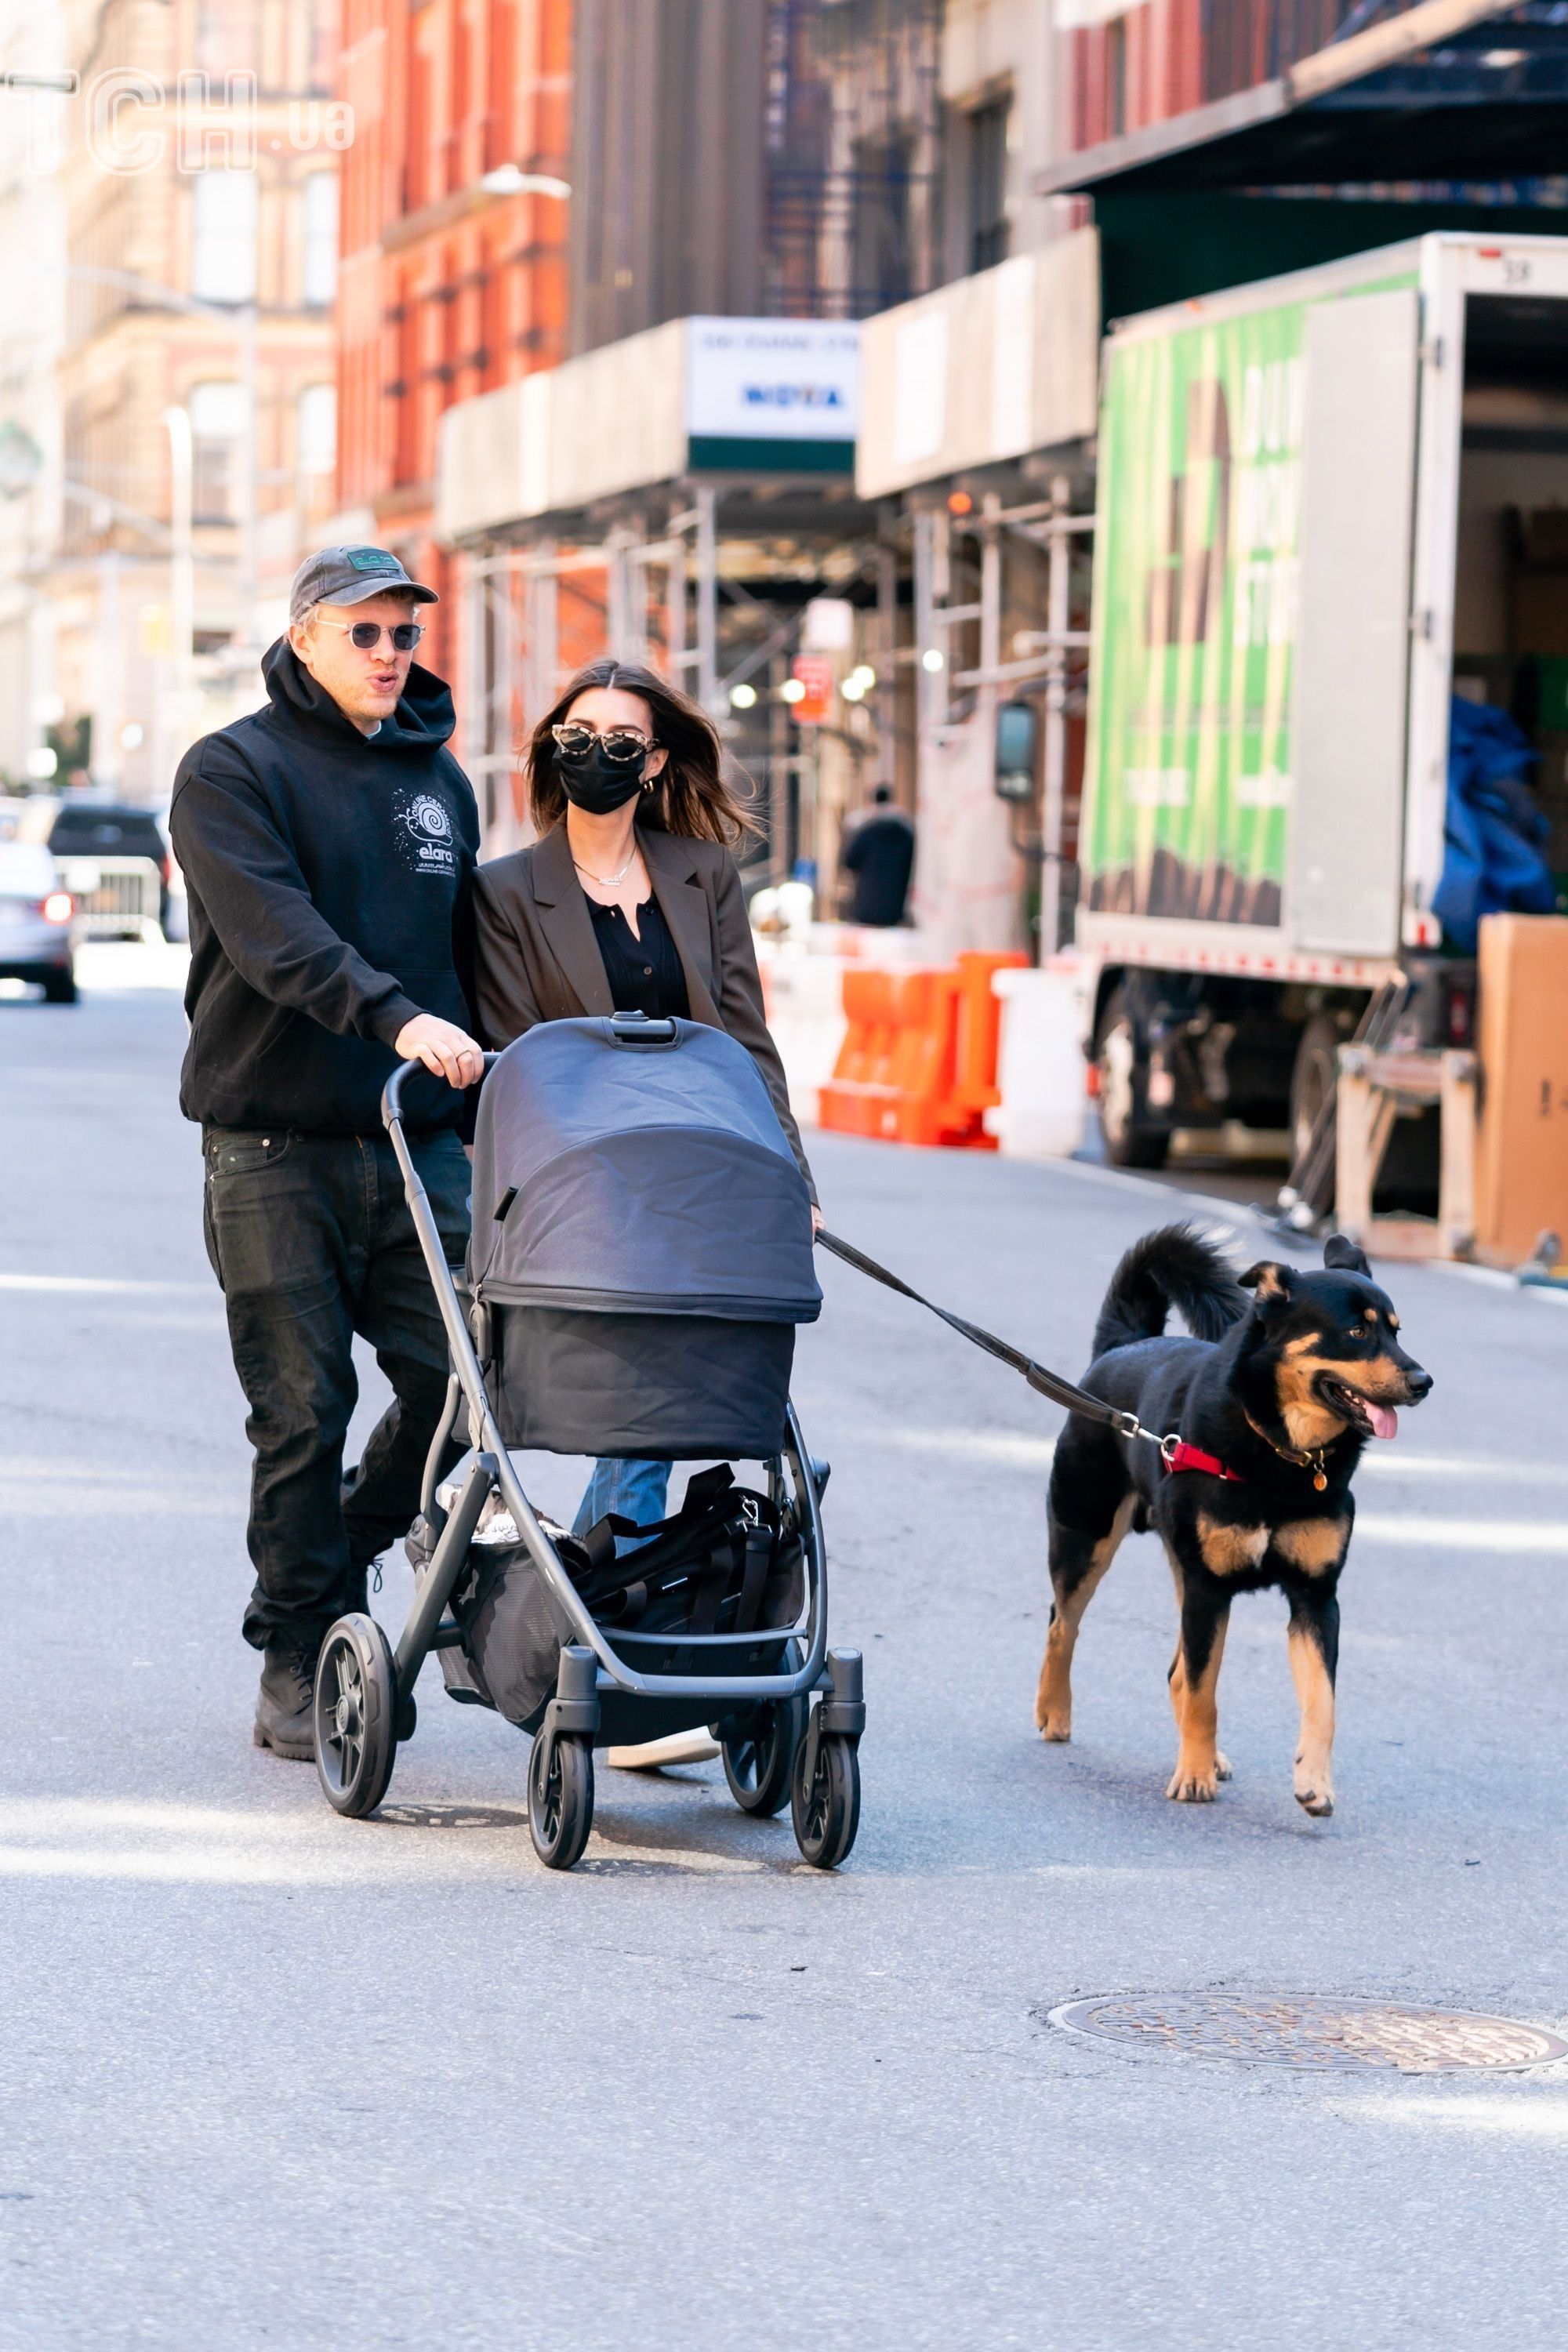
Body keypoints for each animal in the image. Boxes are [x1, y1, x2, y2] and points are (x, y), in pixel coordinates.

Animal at [1034, 1232, 1429, 1816]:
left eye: (1397, 1332)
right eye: (1357, 1332)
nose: (1424, 1381)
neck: (1282, 1453)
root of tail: (1123, 1345)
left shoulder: (1315, 1598)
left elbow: (1322, 1702)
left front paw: (1314, 1782)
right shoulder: (1209, 1589)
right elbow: (1205, 1694)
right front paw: (1194, 1777)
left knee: (1173, 1669)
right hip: (1087, 1535)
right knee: (1064, 1624)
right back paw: (1054, 1711)